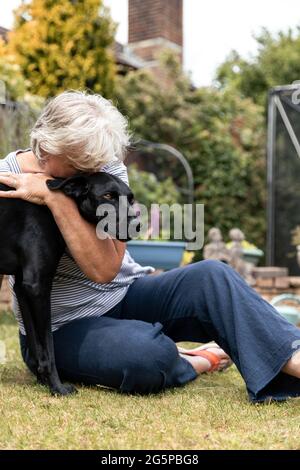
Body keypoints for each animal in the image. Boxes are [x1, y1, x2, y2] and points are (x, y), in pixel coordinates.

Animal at [0, 171, 138, 394]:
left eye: (131, 198)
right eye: (108, 196)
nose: (137, 225)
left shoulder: (22, 287)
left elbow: (37, 345)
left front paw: (43, 380)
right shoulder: (37, 286)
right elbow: (48, 346)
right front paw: (57, 387)